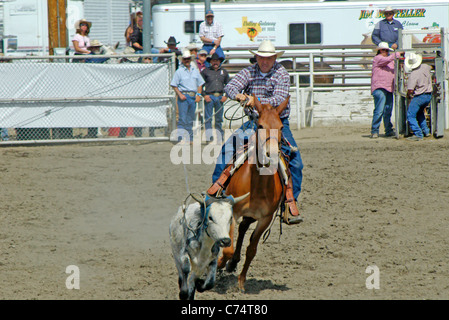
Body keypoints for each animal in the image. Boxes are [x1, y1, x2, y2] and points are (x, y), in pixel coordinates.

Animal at [216, 94, 288, 292]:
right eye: (261, 125)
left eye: (281, 127)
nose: (272, 154)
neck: (258, 184)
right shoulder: (233, 212)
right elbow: (228, 248)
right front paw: (218, 265)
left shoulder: (265, 219)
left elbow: (251, 250)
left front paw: (241, 282)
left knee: (243, 229)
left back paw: (233, 264)